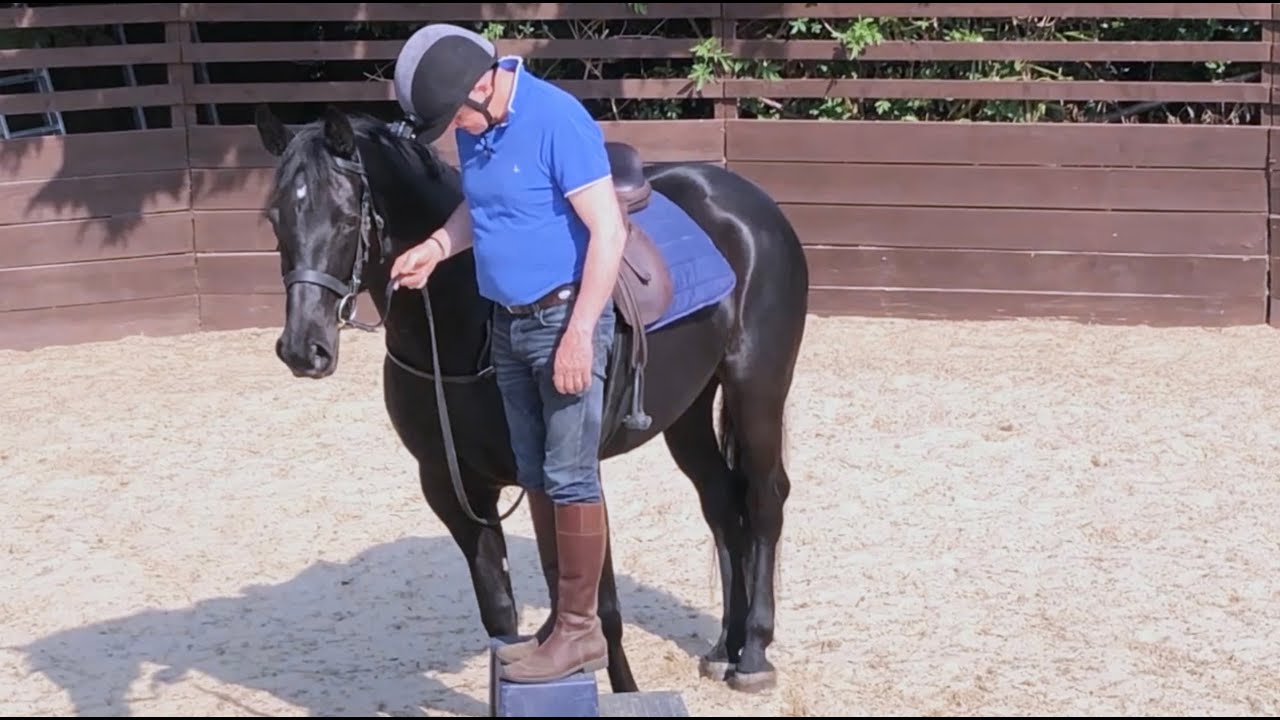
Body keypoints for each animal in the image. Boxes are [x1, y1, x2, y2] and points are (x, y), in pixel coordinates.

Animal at [252, 102, 810, 694]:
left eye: (343, 217)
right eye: (276, 218)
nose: (303, 348)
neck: (464, 328)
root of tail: (745, 202)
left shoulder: (573, 472)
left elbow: (600, 607)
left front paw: (625, 691)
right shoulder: (451, 488)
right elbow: (502, 612)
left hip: (757, 390)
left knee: (765, 499)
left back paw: (753, 653)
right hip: (687, 412)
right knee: (722, 502)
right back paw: (726, 645)